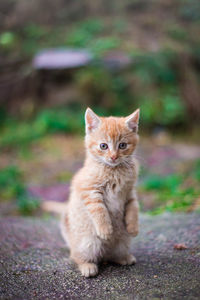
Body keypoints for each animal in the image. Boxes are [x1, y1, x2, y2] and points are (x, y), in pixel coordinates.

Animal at [61, 107, 141, 276]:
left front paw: (133, 227)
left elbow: (134, 208)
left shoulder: (130, 192)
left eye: (122, 145)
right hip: (88, 244)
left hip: (122, 242)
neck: (114, 170)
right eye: (103, 146)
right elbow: (99, 210)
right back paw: (88, 266)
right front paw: (105, 229)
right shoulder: (90, 190)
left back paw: (123, 258)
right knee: (77, 256)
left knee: (111, 255)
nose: (113, 156)